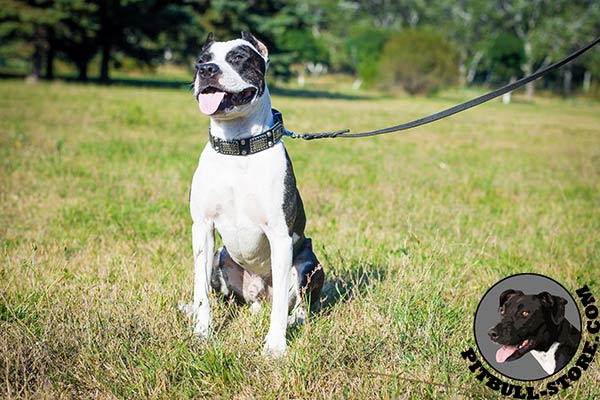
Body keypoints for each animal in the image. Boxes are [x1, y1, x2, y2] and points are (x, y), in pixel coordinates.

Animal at [183, 31, 324, 356]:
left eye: (239, 57)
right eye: (201, 59)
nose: (206, 70)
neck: (238, 146)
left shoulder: (280, 236)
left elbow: (281, 306)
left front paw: (275, 346)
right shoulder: (202, 229)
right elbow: (200, 291)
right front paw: (202, 333)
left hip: (309, 262)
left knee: (297, 303)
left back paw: (295, 319)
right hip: (220, 259)